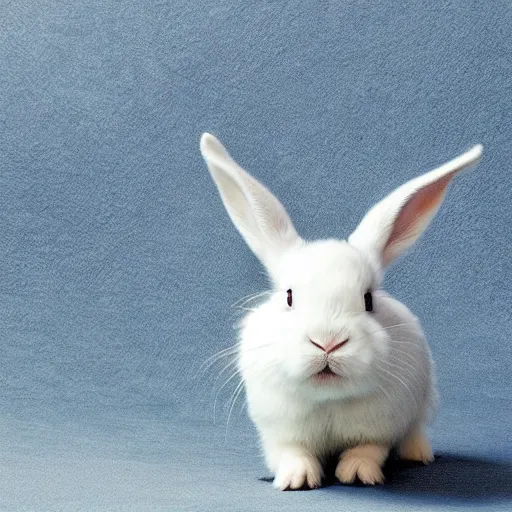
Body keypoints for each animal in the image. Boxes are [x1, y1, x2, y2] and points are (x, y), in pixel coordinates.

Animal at [201, 134, 484, 490]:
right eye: (289, 297)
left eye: (368, 300)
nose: (328, 342)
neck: (329, 400)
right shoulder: (280, 434)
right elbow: (292, 453)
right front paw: (296, 479)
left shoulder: (379, 428)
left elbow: (368, 449)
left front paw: (359, 473)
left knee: (415, 430)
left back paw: (418, 454)